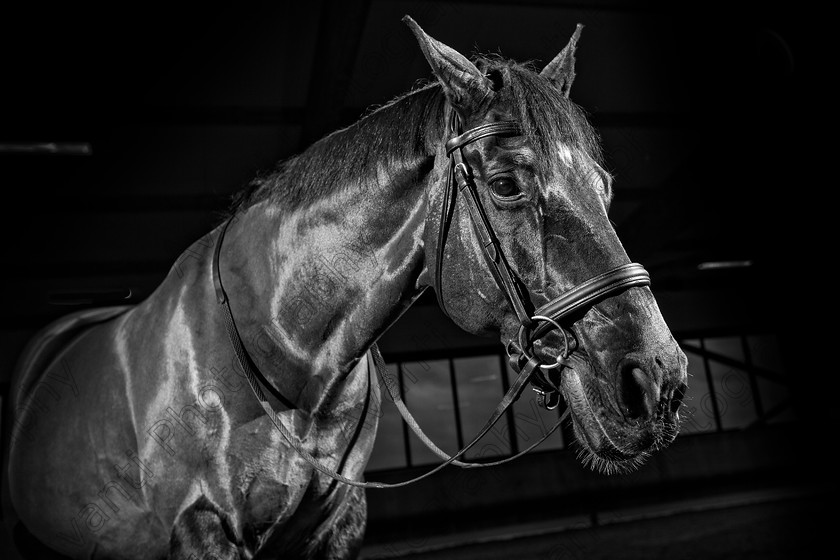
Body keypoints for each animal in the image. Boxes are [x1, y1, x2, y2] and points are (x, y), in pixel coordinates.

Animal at [4, 15, 688, 556]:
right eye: (505, 184)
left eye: (604, 187)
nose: (657, 383)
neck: (287, 354)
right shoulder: (200, 528)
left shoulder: (338, 524)